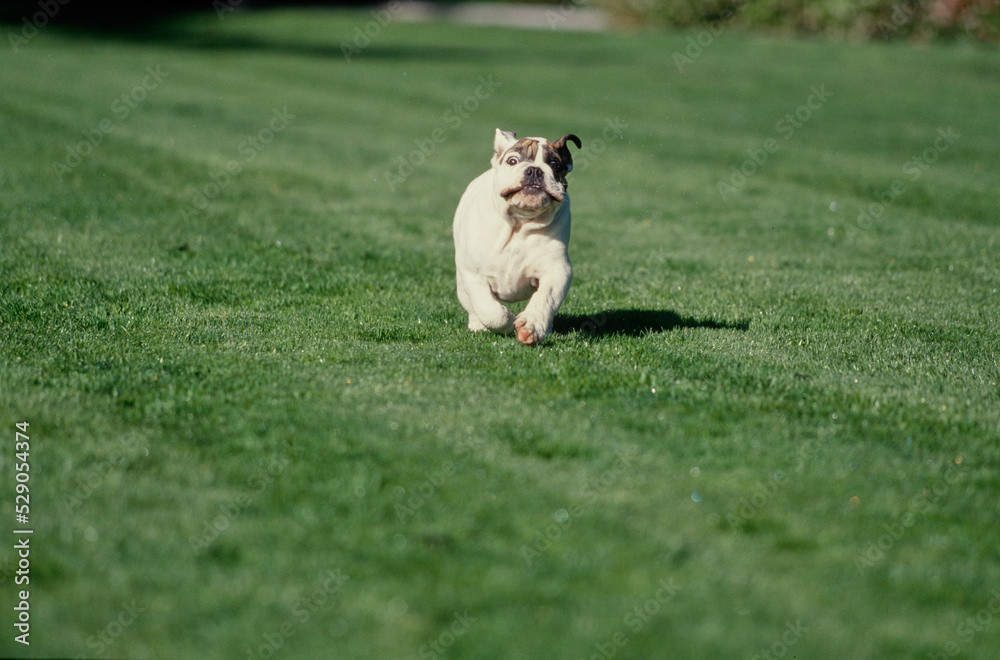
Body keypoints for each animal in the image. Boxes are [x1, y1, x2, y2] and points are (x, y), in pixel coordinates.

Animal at [452, 129, 584, 346]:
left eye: (554, 165)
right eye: (512, 161)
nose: (535, 170)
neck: (519, 223)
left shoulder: (557, 270)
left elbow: (545, 298)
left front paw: (531, 325)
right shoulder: (474, 274)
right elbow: (490, 311)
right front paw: (506, 323)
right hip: (462, 285)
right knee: (474, 308)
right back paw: (478, 326)